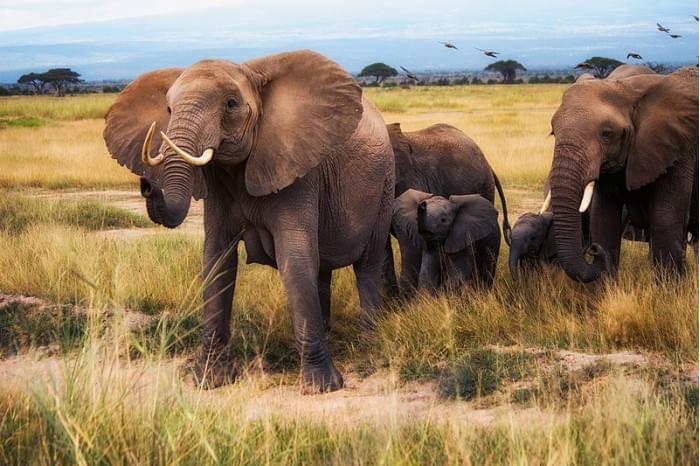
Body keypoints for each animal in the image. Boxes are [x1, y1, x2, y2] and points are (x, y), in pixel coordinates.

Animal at [103, 50, 394, 394]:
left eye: (231, 104)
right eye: (169, 109)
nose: (147, 184)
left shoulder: (297, 168)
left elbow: (294, 259)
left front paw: (322, 387)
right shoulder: (218, 186)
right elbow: (217, 261)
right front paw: (208, 381)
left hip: (384, 186)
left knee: (367, 266)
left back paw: (368, 342)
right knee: (321, 269)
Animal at [544, 66, 696, 282]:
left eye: (607, 134)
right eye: (553, 132)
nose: (592, 249)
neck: (627, 86)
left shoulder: (678, 151)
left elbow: (665, 223)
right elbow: (604, 222)